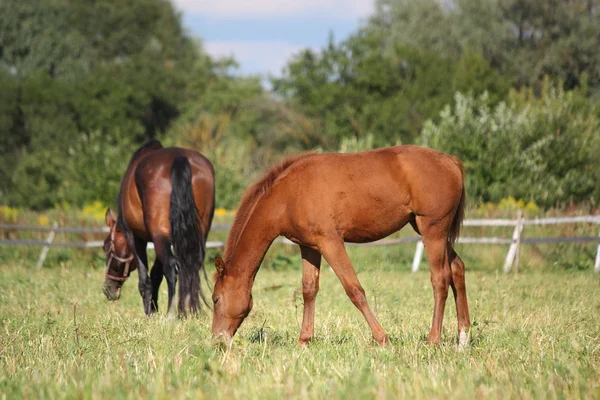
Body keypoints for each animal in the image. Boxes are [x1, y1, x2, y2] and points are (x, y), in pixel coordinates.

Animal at [103, 140, 216, 316]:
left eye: (106, 247)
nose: (107, 289)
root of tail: (179, 158)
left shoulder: (135, 237)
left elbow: (145, 279)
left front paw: (149, 312)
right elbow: (156, 273)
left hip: (159, 235)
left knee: (171, 266)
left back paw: (172, 313)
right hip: (198, 233)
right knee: (190, 264)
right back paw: (188, 309)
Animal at [213, 146, 472, 346]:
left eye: (215, 299)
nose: (217, 340)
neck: (288, 195)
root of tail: (451, 161)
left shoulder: (331, 243)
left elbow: (354, 290)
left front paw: (382, 339)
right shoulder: (309, 247)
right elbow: (309, 289)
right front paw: (303, 341)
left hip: (433, 230)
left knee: (440, 278)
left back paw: (433, 340)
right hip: (430, 231)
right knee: (457, 268)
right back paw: (463, 339)